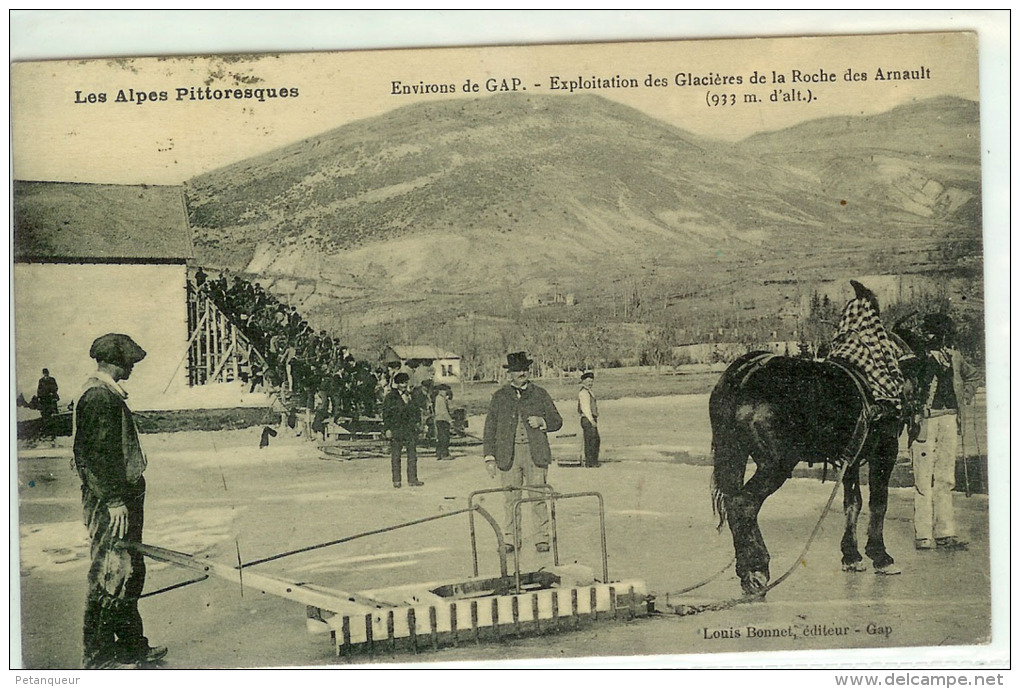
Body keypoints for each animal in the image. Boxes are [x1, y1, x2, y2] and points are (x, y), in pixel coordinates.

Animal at [709, 330, 926, 596]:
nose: (918, 415)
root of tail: (743, 376)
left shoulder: (851, 458)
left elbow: (852, 503)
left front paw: (851, 555)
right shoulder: (884, 451)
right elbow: (878, 503)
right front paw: (880, 555)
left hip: (736, 455)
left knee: (732, 502)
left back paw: (745, 568)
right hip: (777, 465)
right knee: (744, 504)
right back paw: (756, 569)